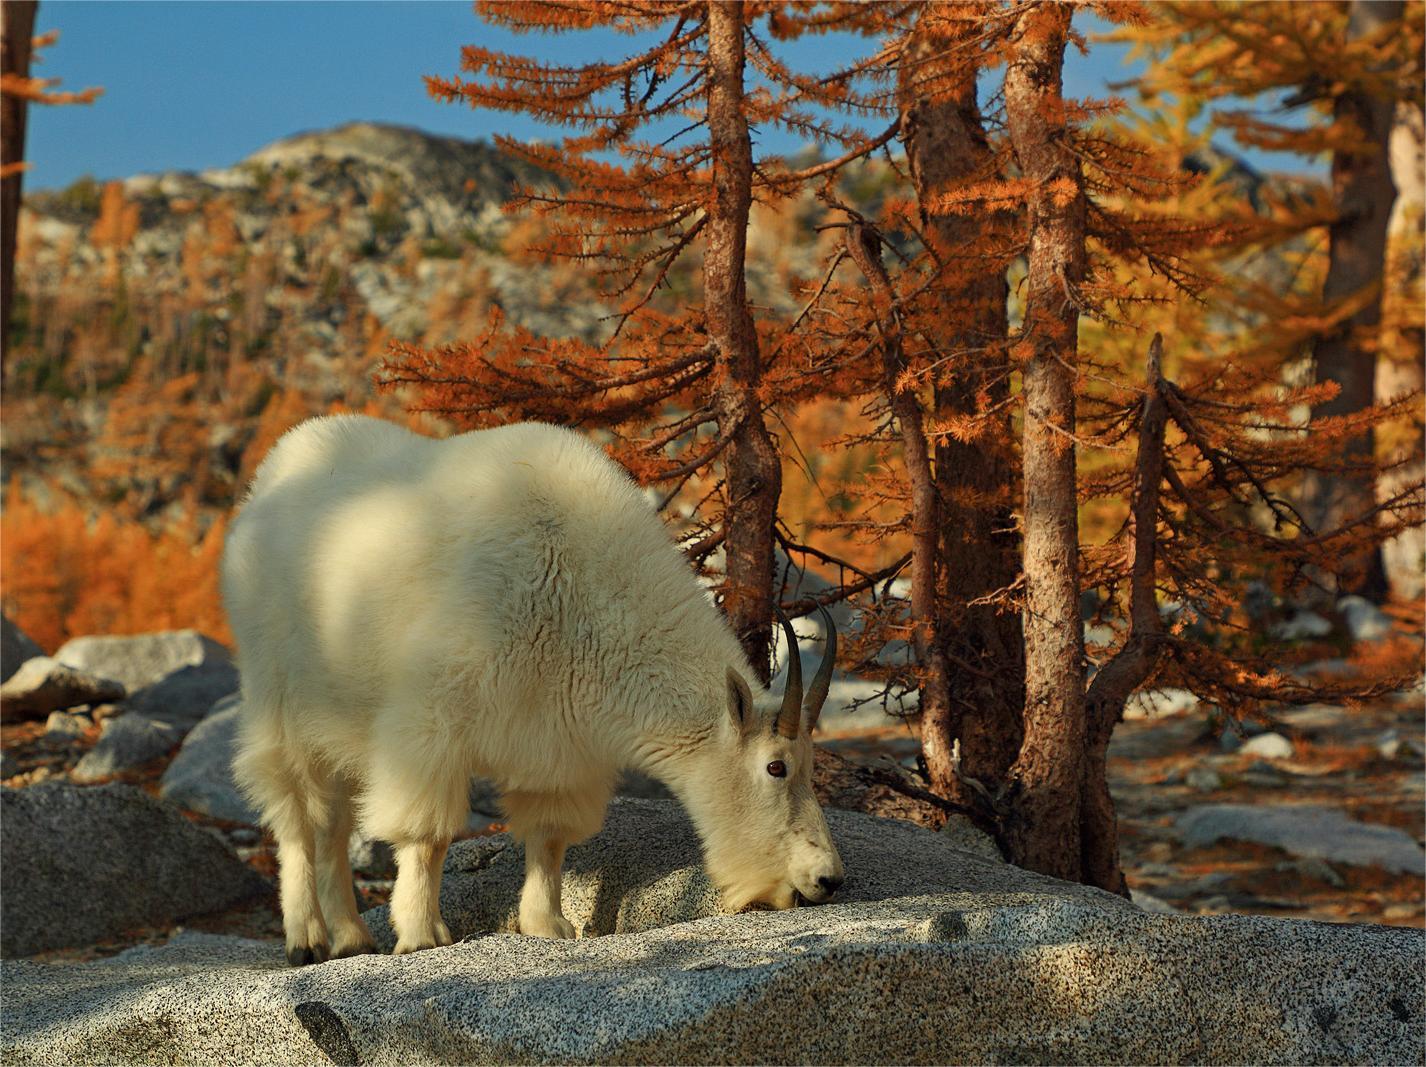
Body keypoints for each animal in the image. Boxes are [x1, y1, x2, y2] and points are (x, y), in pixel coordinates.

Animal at [223, 415, 844, 964]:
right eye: (776, 767)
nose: (827, 880)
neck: (584, 589)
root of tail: (274, 468)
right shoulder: (431, 722)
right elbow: (427, 835)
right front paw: (422, 934)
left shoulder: (561, 744)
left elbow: (548, 838)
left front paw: (548, 926)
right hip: (276, 695)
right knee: (296, 816)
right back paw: (306, 937)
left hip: (341, 716)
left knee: (334, 822)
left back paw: (351, 937)